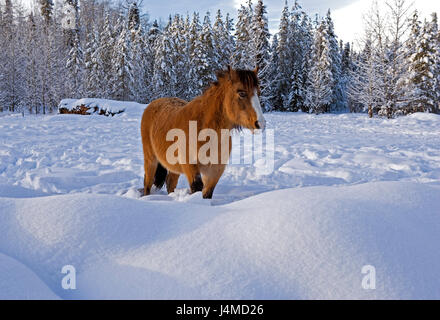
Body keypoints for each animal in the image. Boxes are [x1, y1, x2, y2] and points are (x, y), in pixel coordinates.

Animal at [142, 66, 264, 199]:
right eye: (241, 93)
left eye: (258, 93)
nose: (260, 123)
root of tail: (153, 104)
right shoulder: (191, 167)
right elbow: (196, 188)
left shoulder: (214, 171)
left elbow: (207, 193)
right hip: (150, 159)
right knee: (147, 183)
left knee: (170, 183)